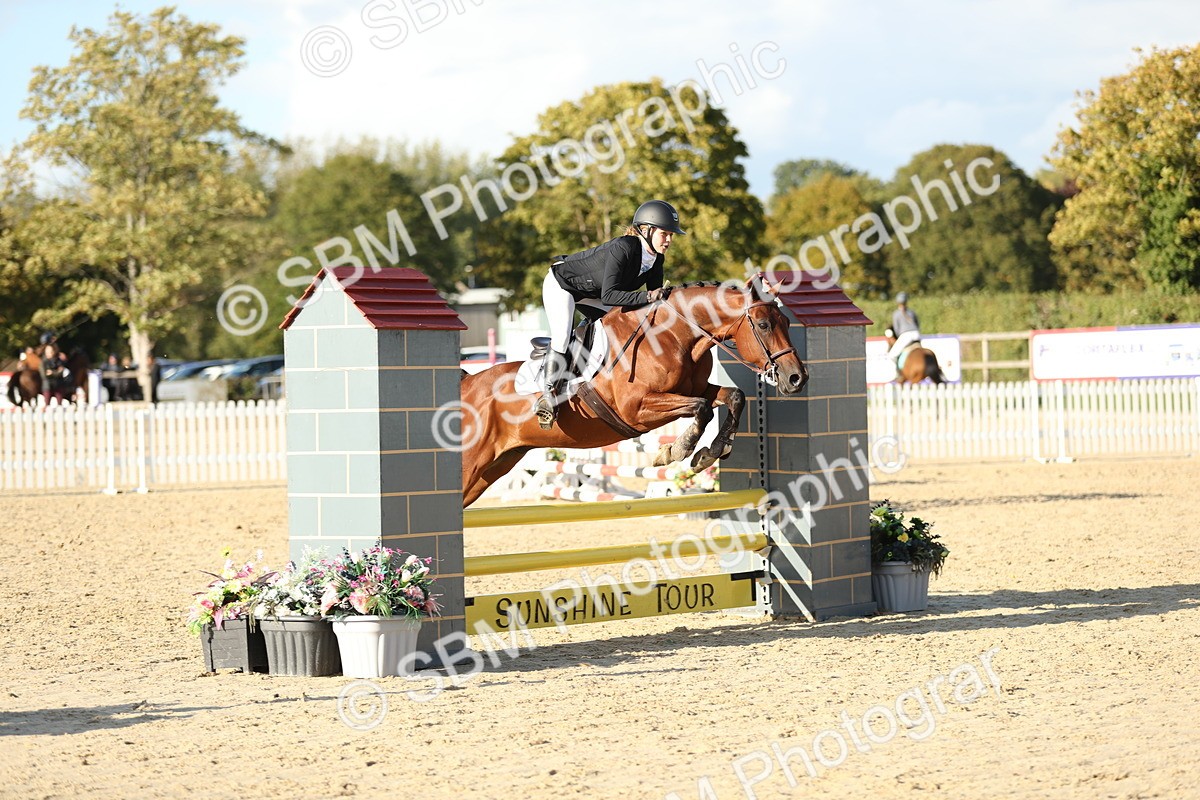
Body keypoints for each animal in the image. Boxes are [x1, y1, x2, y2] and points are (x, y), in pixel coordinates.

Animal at [460, 278, 809, 507]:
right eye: (763, 325)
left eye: (785, 320)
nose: (797, 378)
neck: (674, 335)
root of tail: (467, 385)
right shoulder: (637, 408)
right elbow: (701, 408)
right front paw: (676, 450)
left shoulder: (694, 389)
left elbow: (733, 396)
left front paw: (711, 452)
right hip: (471, 464)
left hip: (495, 467)